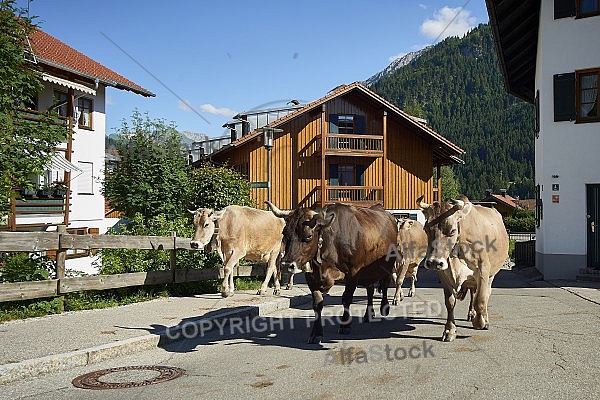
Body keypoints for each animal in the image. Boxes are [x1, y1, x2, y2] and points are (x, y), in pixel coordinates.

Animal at [268, 202, 398, 346]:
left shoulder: (353, 273)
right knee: (370, 289)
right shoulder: (311, 277)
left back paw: (384, 307)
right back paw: (368, 314)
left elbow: (346, 298)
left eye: (308, 236)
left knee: (385, 285)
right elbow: (317, 303)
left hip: (388, 266)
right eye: (284, 233)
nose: (286, 265)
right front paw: (316, 333)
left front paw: (345, 325)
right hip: (368, 273)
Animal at [420, 195, 508, 342]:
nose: (433, 262)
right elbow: (450, 302)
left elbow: (481, 300)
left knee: (485, 294)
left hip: (491, 275)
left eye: (452, 231)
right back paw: (471, 314)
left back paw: (483, 318)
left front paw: (480, 322)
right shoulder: (444, 274)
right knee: (473, 293)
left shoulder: (483, 270)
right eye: (426, 229)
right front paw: (449, 330)